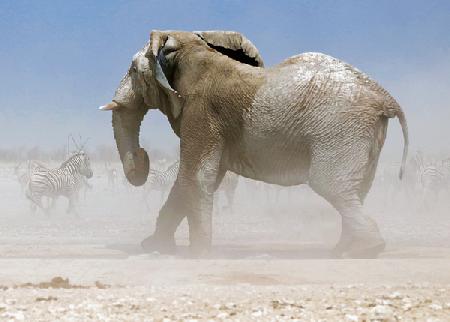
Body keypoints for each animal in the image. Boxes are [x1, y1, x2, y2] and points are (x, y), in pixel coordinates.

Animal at [100, 29, 410, 256]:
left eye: (133, 70)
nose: (142, 157)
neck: (190, 45)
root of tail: (384, 97)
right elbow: (194, 179)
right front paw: (154, 247)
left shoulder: (202, 111)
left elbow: (196, 176)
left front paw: (198, 255)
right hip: (362, 133)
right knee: (358, 188)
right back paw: (344, 250)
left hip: (340, 128)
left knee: (330, 185)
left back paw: (364, 250)